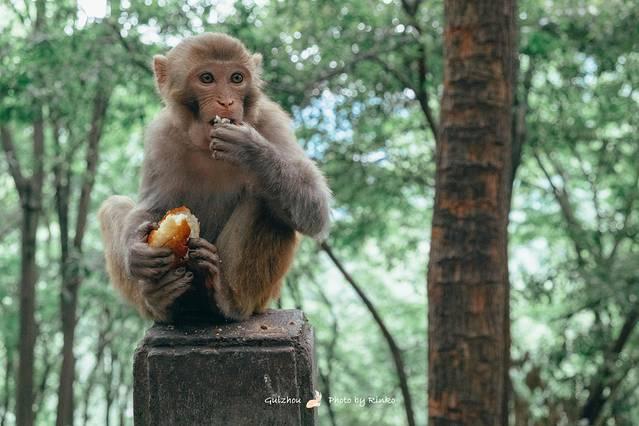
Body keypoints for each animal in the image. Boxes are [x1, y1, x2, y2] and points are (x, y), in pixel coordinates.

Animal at [101, 33, 330, 322]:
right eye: (207, 78)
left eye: (236, 78)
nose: (227, 102)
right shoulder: (160, 135)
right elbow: (152, 207)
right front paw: (136, 251)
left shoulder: (272, 120)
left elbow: (315, 208)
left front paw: (249, 148)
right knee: (114, 205)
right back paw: (162, 300)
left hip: (260, 298)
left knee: (267, 201)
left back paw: (226, 298)